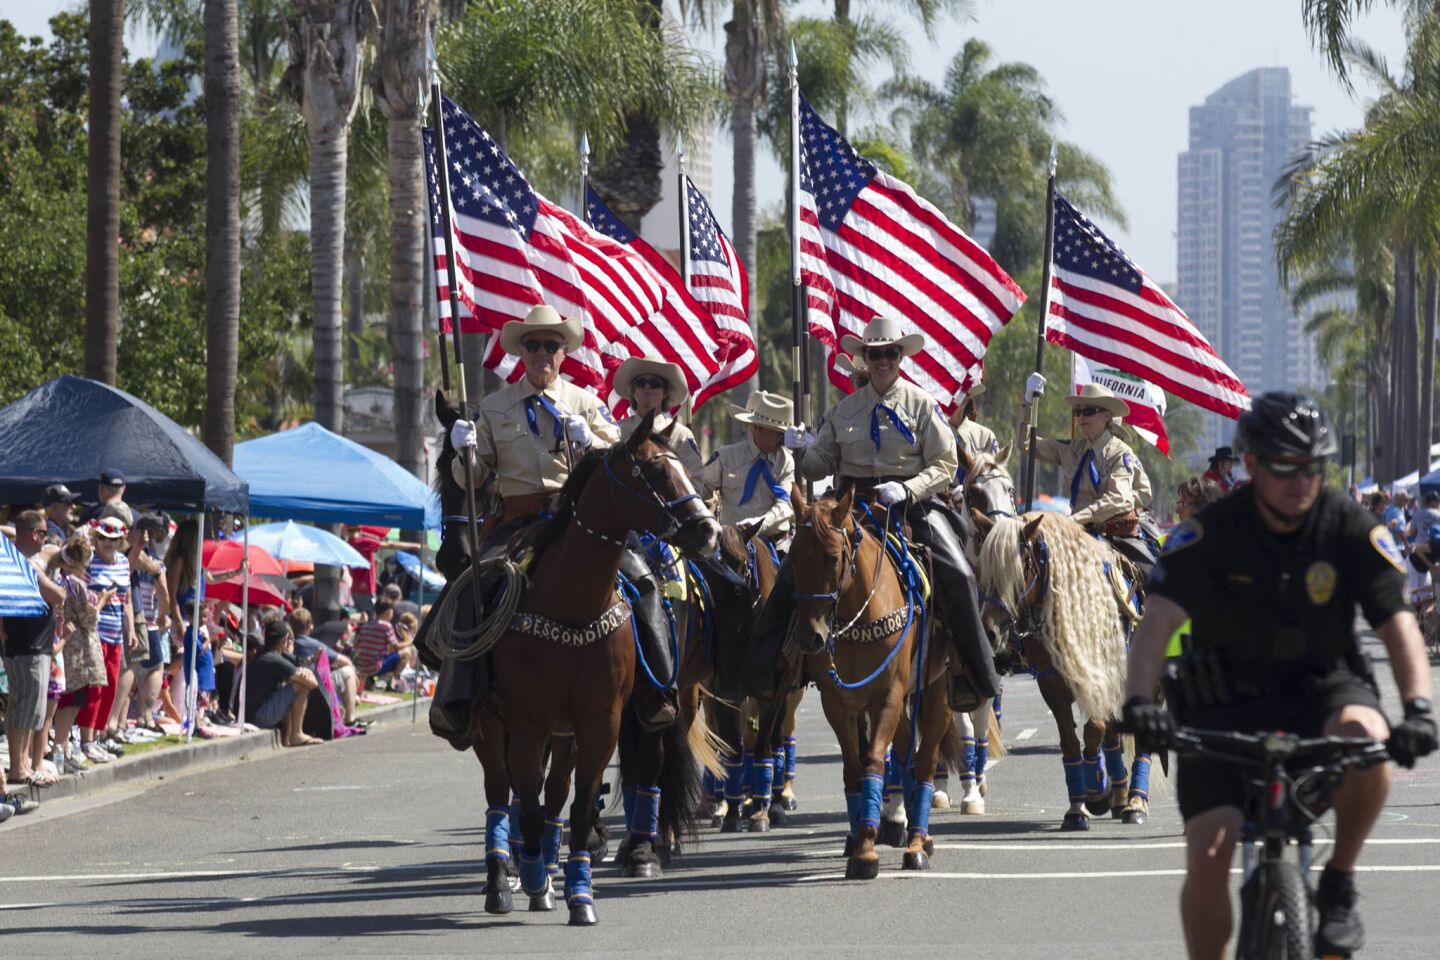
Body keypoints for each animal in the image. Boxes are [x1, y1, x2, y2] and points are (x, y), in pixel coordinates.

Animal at [486, 414, 717, 921]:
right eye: (656, 471)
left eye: (683, 464)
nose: (707, 531)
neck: (571, 603)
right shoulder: (528, 723)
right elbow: (528, 804)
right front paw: (532, 877)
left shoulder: (601, 719)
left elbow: (577, 804)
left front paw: (580, 895)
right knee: (506, 792)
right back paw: (504, 878)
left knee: (639, 766)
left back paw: (641, 850)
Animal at [789, 489, 921, 880]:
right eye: (792, 556)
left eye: (833, 558)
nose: (810, 638)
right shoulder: (839, 704)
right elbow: (853, 768)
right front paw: (859, 837)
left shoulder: (888, 697)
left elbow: (875, 761)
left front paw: (866, 850)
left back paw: (917, 839)